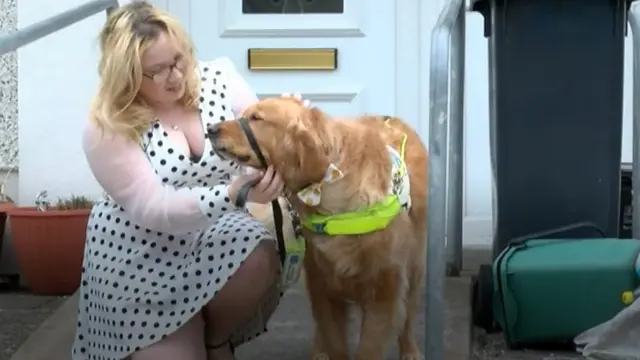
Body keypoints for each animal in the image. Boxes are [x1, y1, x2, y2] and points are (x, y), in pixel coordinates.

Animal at [210, 96, 430, 360]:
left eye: (256, 118)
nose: (210, 129)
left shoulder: (384, 291)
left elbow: (369, 347)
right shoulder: (323, 286)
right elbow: (334, 339)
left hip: (415, 265)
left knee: (409, 313)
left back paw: (410, 350)